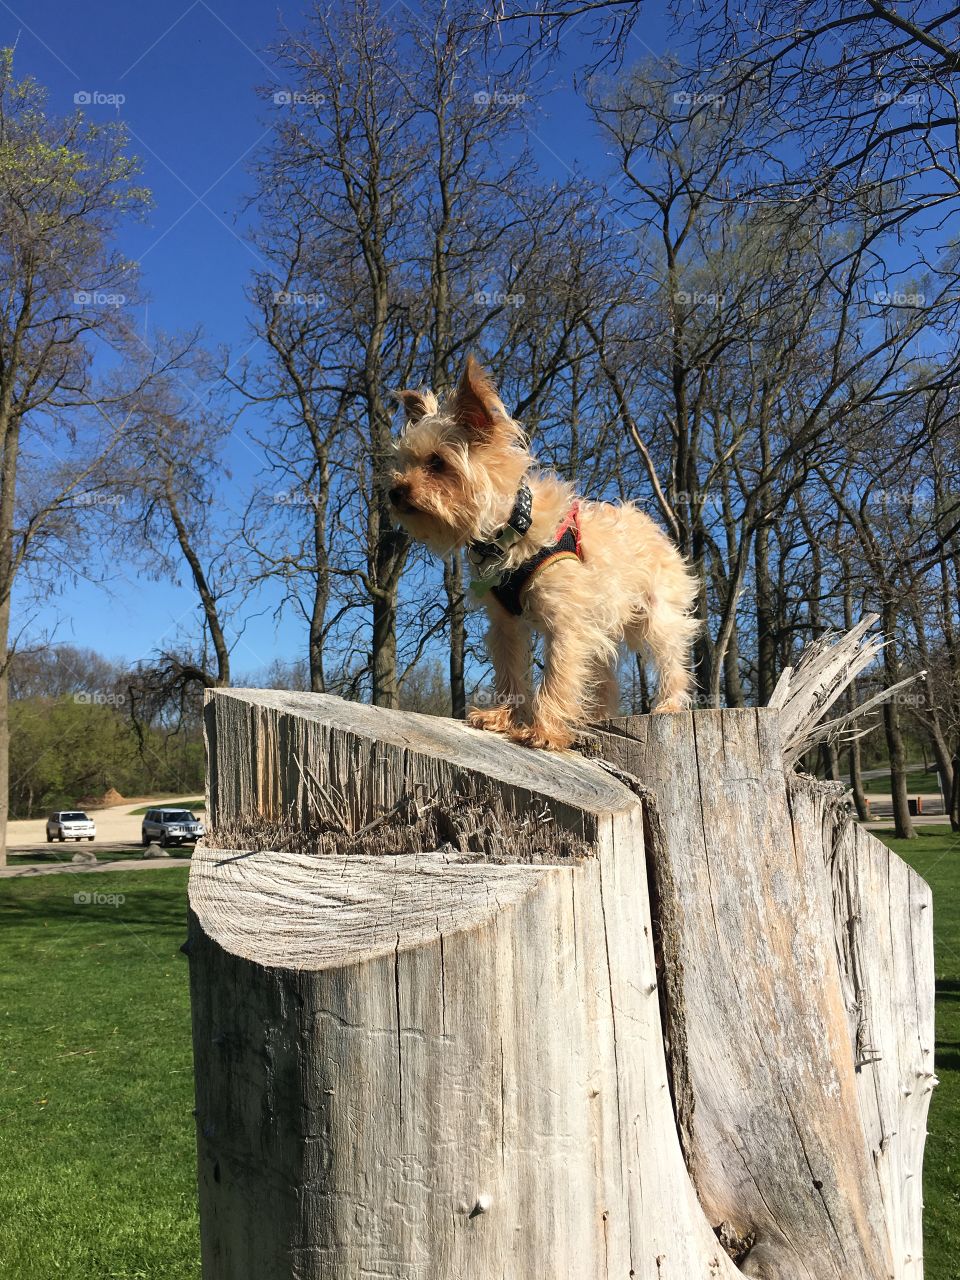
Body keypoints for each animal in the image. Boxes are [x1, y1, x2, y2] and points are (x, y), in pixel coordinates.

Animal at [391, 355, 701, 747]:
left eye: (437, 463)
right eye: (402, 463)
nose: (394, 491)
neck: (511, 528)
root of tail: (652, 525)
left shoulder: (566, 624)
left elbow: (558, 676)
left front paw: (543, 731)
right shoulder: (506, 625)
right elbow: (511, 671)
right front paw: (502, 717)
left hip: (654, 615)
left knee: (671, 656)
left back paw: (669, 704)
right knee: (604, 673)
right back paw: (596, 716)